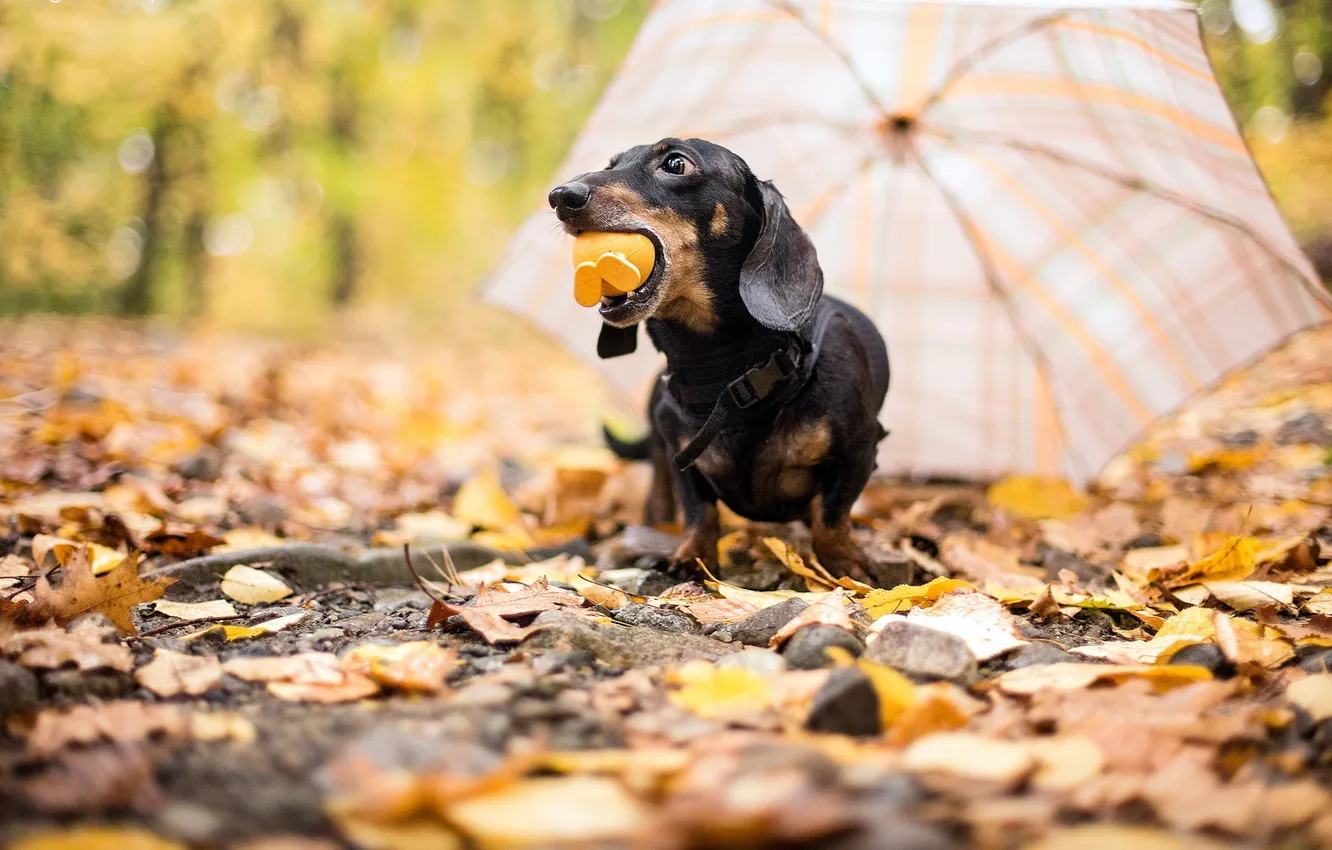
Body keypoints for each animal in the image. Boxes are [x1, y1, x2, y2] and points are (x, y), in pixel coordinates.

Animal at [546, 139, 889, 583]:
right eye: (611, 163)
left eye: (676, 163)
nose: (561, 196)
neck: (724, 371)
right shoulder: (682, 457)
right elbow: (700, 512)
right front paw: (692, 557)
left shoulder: (859, 451)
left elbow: (831, 514)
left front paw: (845, 564)